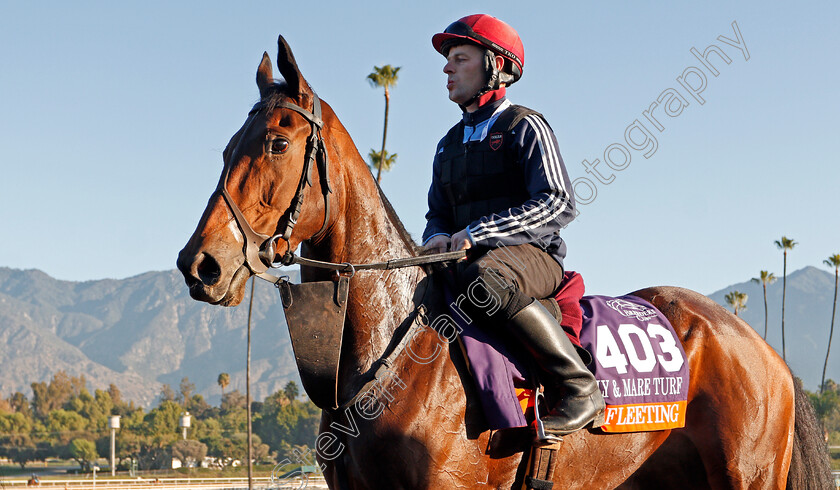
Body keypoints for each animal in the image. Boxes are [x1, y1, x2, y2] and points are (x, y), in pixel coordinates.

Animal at [176, 36, 828, 488]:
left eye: (277, 142)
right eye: (229, 147)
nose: (199, 264)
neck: (392, 354)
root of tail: (761, 346)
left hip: (747, 476)